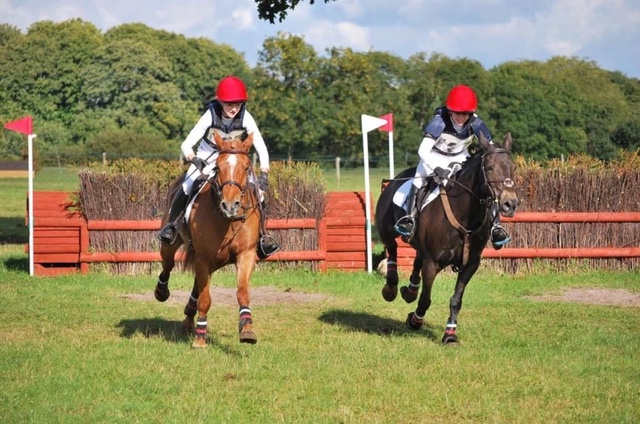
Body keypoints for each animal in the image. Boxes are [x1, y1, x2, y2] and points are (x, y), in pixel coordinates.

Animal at [154, 130, 262, 348]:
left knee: (196, 284)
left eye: (247, 167)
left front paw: (247, 329)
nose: (230, 205)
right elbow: (205, 299)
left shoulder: (245, 254)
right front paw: (200, 338)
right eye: (218, 167)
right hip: (172, 245)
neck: (227, 220)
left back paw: (189, 316)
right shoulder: (203, 258)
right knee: (168, 265)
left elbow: (242, 292)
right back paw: (162, 292)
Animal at [378, 132, 516, 344]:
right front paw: (415, 320)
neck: (465, 215)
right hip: (386, 229)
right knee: (392, 248)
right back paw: (391, 288)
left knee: (417, 259)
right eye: (490, 168)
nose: (510, 203)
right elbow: (425, 299)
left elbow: (456, 300)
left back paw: (410, 290)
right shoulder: (433, 263)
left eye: (513, 168)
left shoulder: (470, 265)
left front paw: (450, 334)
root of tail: (395, 179)